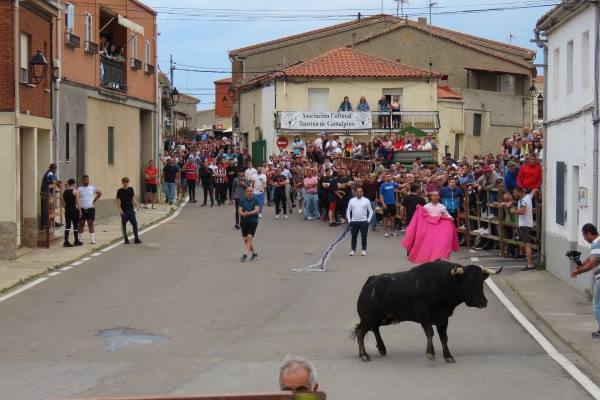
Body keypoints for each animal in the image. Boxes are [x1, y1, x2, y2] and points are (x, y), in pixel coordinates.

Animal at [352, 260, 502, 364]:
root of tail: (370, 281)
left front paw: (448, 356)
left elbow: (444, 337)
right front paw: (430, 353)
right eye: (469, 283)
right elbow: (430, 332)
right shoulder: (424, 315)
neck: (443, 283)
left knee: (374, 329)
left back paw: (381, 349)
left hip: (382, 318)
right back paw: (364, 355)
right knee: (361, 332)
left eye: (481, 282)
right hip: (369, 317)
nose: (483, 302)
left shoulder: (443, 318)